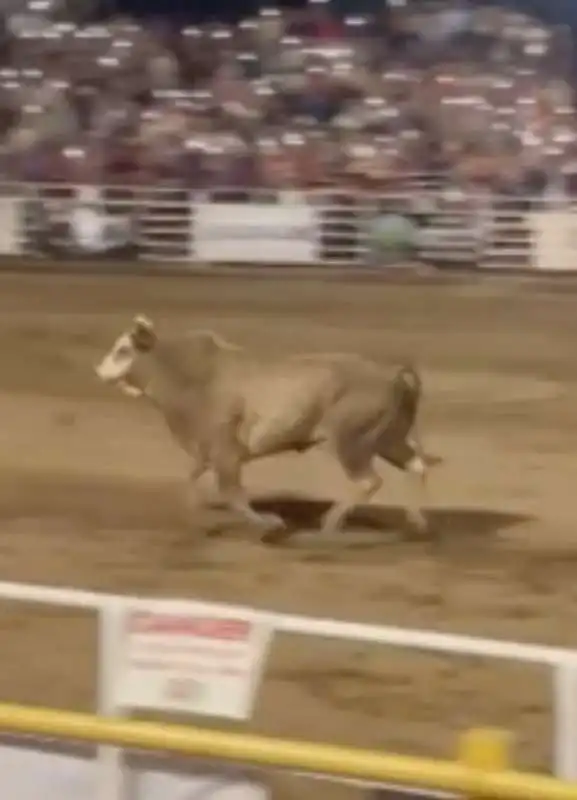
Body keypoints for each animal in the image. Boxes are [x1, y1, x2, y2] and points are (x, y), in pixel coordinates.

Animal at [94, 316, 430, 536]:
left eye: (123, 350)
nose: (98, 371)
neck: (187, 375)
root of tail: (391, 373)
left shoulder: (225, 451)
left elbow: (232, 492)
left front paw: (268, 523)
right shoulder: (206, 450)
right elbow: (192, 478)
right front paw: (194, 513)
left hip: (351, 441)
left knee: (368, 481)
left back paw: (331, 522)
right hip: (387, 438)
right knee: (416, 466)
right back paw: (417, 522)